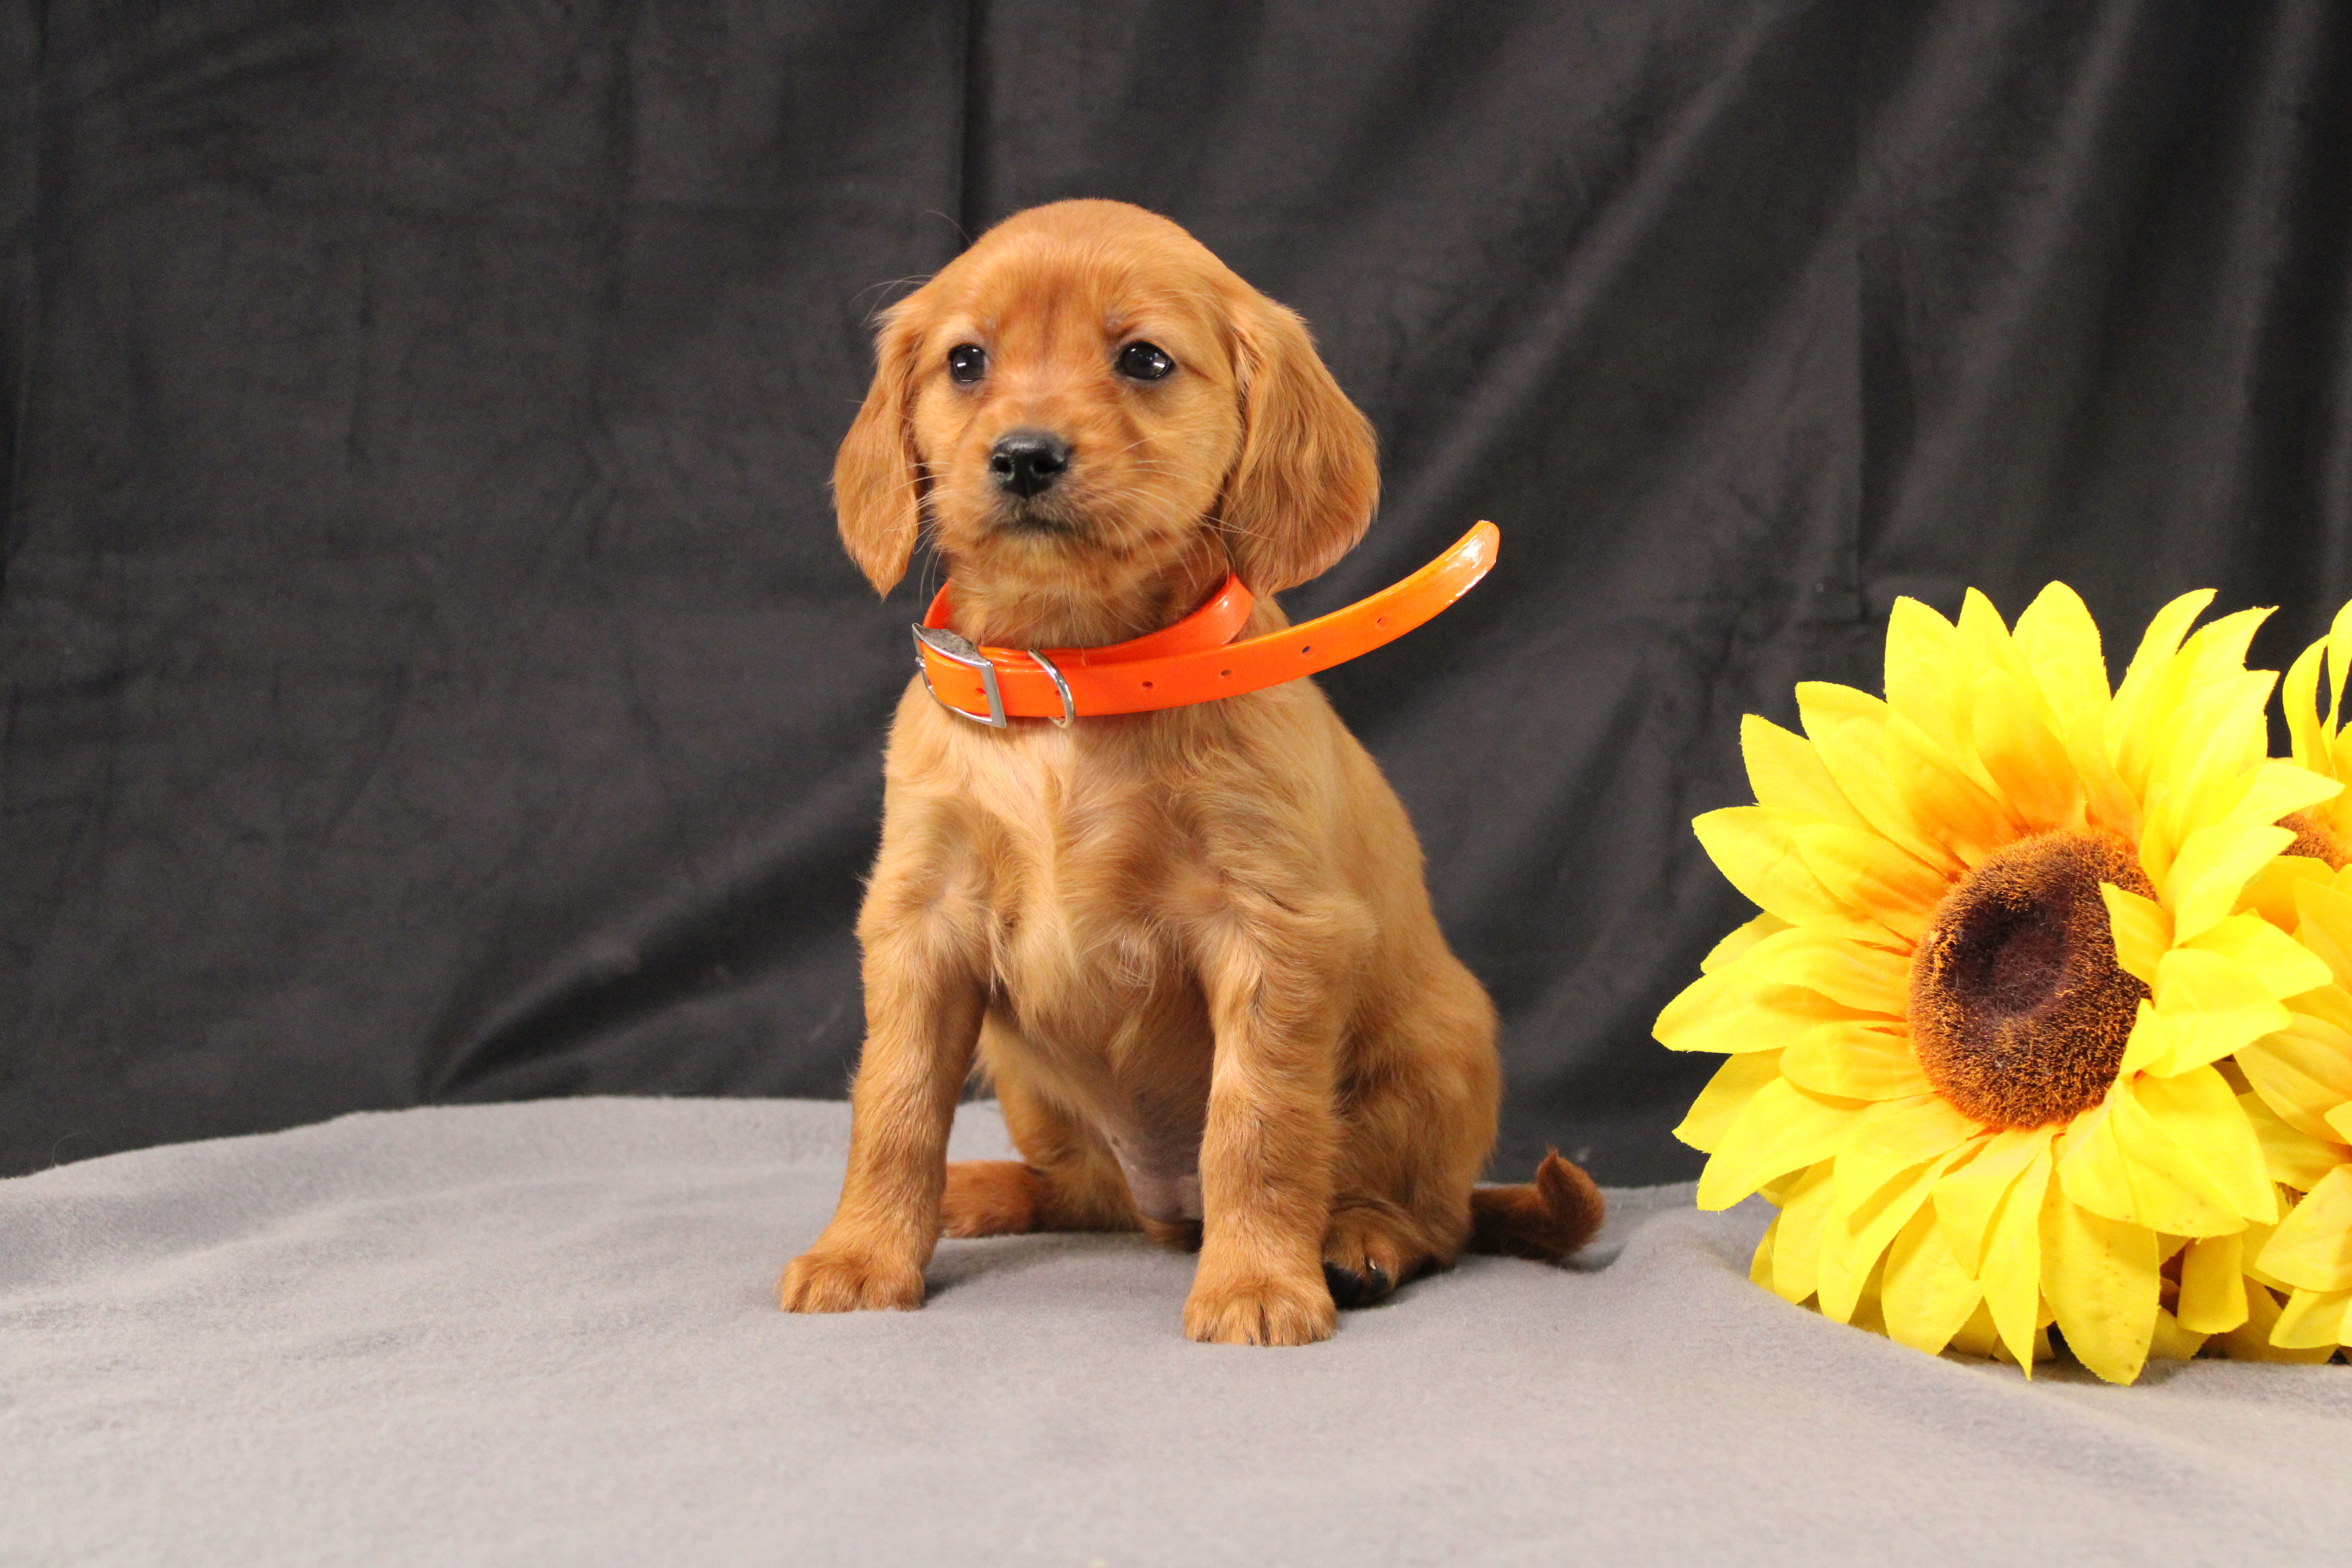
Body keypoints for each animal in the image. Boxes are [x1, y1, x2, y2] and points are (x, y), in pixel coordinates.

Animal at [786, 200, 1599, 1354]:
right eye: (966, 361)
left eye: (1144, 359)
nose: (1024, 456)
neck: (1076, 683)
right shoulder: (921, 925)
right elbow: (894, 1107)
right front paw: (861, 1255)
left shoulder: (1275, 933)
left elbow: (1256, 1126)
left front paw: (1258, 1284)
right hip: (1028, 1079)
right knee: (1081, 1191)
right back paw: (982, 1190)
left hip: (1435, 1047)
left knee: (1433, 1216)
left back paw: (1358, 1241)